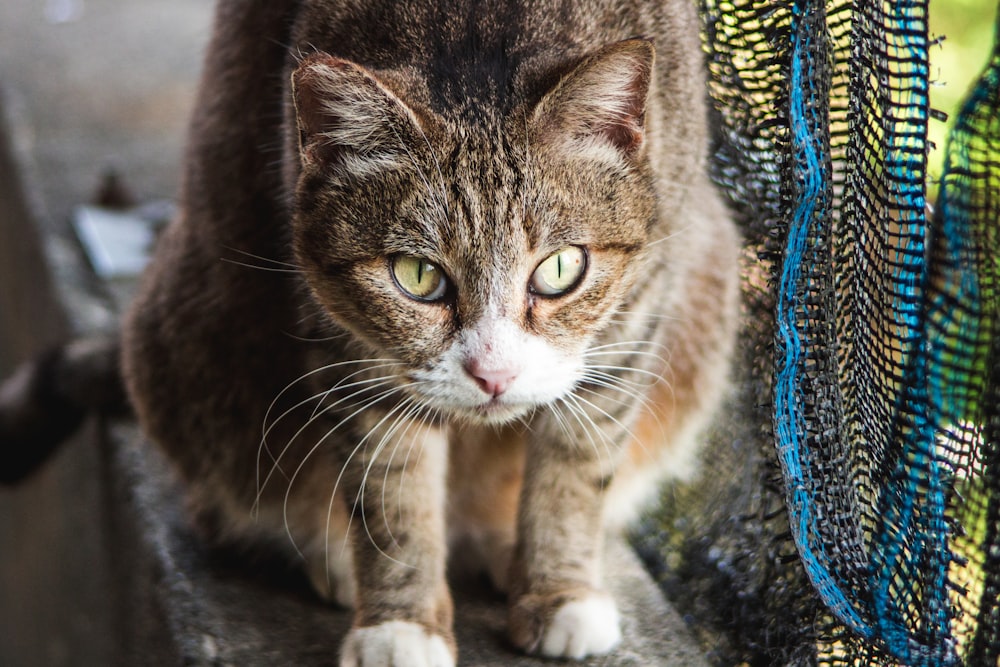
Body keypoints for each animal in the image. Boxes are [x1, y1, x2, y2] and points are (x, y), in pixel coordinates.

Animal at [1, 0, 744, 664]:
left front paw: (559, 590)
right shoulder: (348, 343)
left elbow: (577, 465)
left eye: (561, 269)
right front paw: (401, 620)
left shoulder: (635, 315)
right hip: (196, 336)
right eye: (417, 277)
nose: (494, 374)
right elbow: (391, 489)